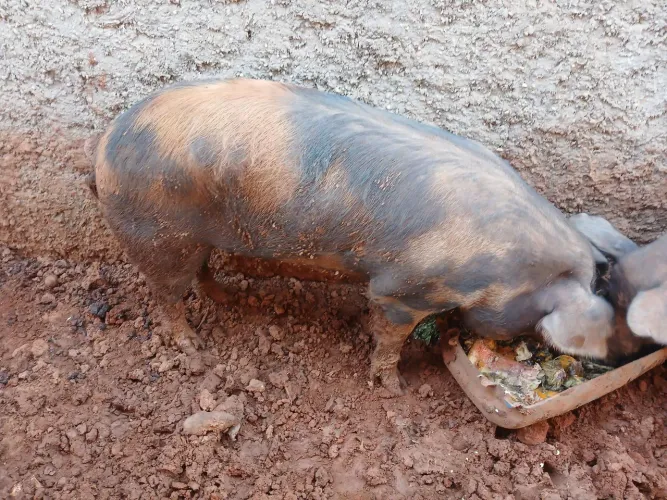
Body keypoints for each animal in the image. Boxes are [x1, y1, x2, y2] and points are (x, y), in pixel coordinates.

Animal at [85, 78, 617, 395]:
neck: (506, 265)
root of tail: (106, 145)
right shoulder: (406, 288)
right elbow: (389, 333)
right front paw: (395, 389)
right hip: (157, 234)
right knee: (166, 295)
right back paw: (192, 345)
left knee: (201, 272)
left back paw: (231, 298)